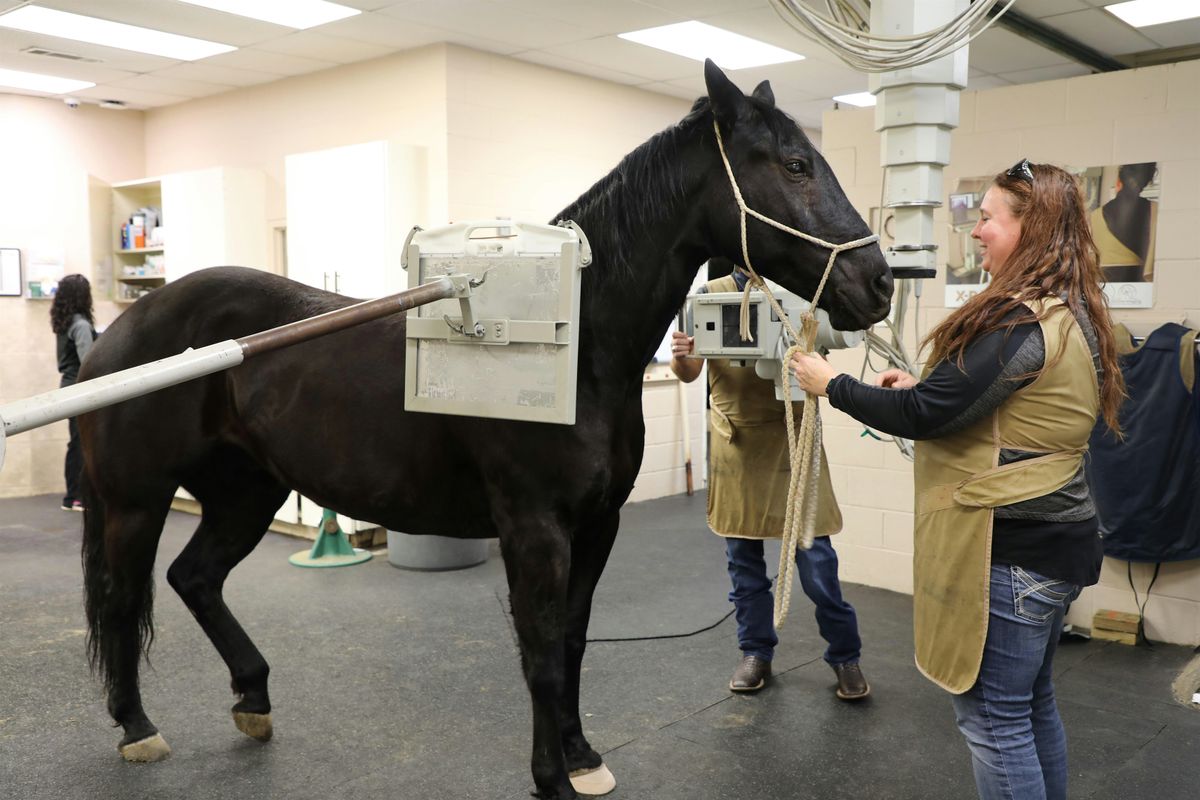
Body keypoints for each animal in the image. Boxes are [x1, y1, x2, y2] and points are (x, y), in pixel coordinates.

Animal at [79, 62, 892, 800]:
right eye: (794, 164)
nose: (880, 282)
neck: (575, 347)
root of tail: (124, 331)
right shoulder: (534, 528)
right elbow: (539, 652)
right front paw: (550, 778)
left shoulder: (597, 525)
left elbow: (572, 640)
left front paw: (582, 757)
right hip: (137, 501)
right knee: (122, 598)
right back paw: (137, 727)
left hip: (245, 494)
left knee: (194, 578)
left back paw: (252, 698)